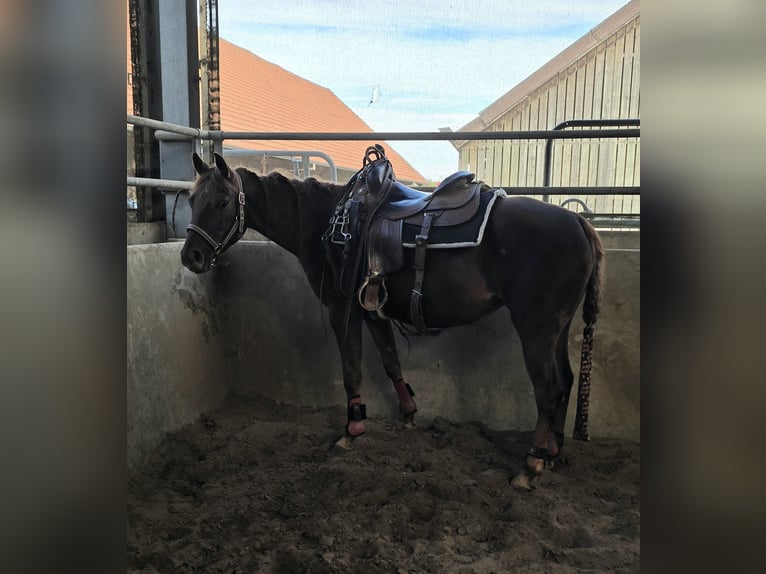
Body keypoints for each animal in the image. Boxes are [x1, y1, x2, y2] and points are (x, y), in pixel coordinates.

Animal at [181, 152, 603, 491]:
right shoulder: (373, 310)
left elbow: (352, 371)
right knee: (566, 381)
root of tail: (581, 224)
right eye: (191, 199)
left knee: (548, 389)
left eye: (221, 202)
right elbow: (390, 361)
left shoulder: (343, 310)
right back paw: (551, 451)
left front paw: (352, 430)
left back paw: (530, 465)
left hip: (536, 328)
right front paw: (409, 414)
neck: (328, 223)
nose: (192, 256)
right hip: (557, 328)